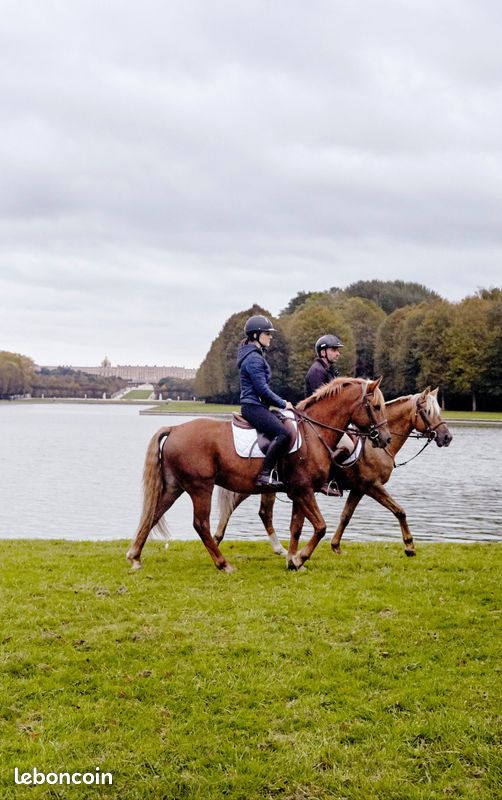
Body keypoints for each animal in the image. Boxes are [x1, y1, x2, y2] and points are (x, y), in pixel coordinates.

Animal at [127, 377, 391, 573]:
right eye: (376, 406)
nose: (386, 438)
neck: (313, 432)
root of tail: (174, 428)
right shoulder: (304, 489)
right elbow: (321, 527)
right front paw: (299, 558)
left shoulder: (300, 491)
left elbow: (297, 527)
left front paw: (292, 560)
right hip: (200, 487)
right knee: (200, 524)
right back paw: (223, 564)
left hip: (175, 486)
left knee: (153, 514)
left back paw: (135, 557)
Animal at [214, 387, 452, 559]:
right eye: (428, 412)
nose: (447, 437)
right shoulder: (372, 486)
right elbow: (399, 510)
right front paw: (410, 546)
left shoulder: (359, 489)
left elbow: (346, 516)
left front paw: (336, 545)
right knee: (241, 507)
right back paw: (220, 539)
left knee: (262, 513)